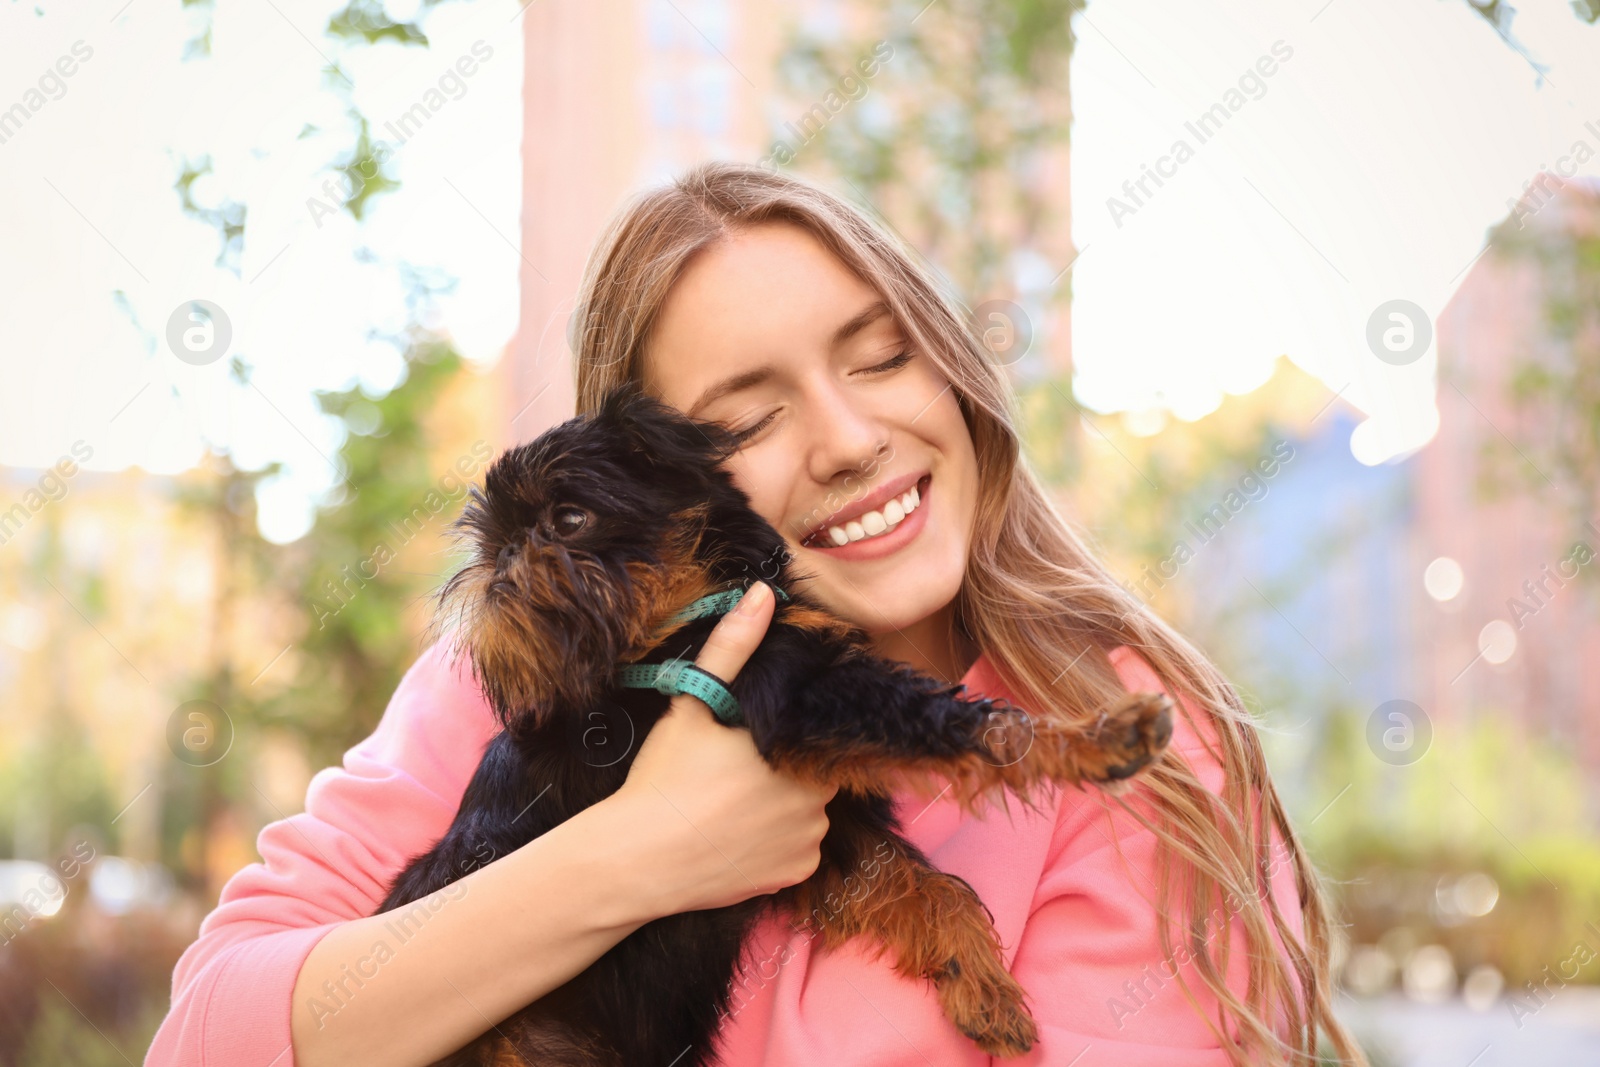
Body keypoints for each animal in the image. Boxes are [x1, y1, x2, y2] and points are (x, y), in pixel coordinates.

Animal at [376, 383, 1177, 1067]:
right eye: (492, 545)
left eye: (568, 520)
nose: (504, 564)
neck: (675, 628)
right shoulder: (803, 699)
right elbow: (964, 724)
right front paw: (1096, 738)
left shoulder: (825, 828)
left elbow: (923, 883)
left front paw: (977, 978)